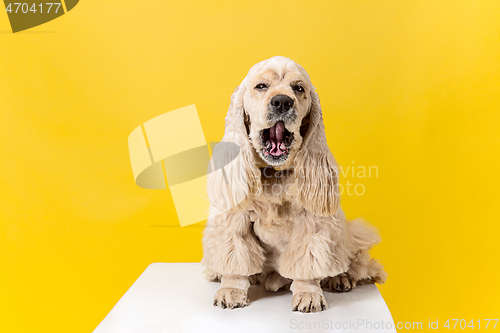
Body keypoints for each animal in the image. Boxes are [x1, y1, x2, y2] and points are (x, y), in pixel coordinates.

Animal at [200, 55, 386, 312]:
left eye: (298, 89)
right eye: (261, 86)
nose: (281, 102)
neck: (275, 175)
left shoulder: (313, 221)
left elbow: (309, 262)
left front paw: (309, 294)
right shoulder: (234, 216)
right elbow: (235, 257)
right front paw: (231, 289)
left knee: (354, 260)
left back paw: (340, 278)